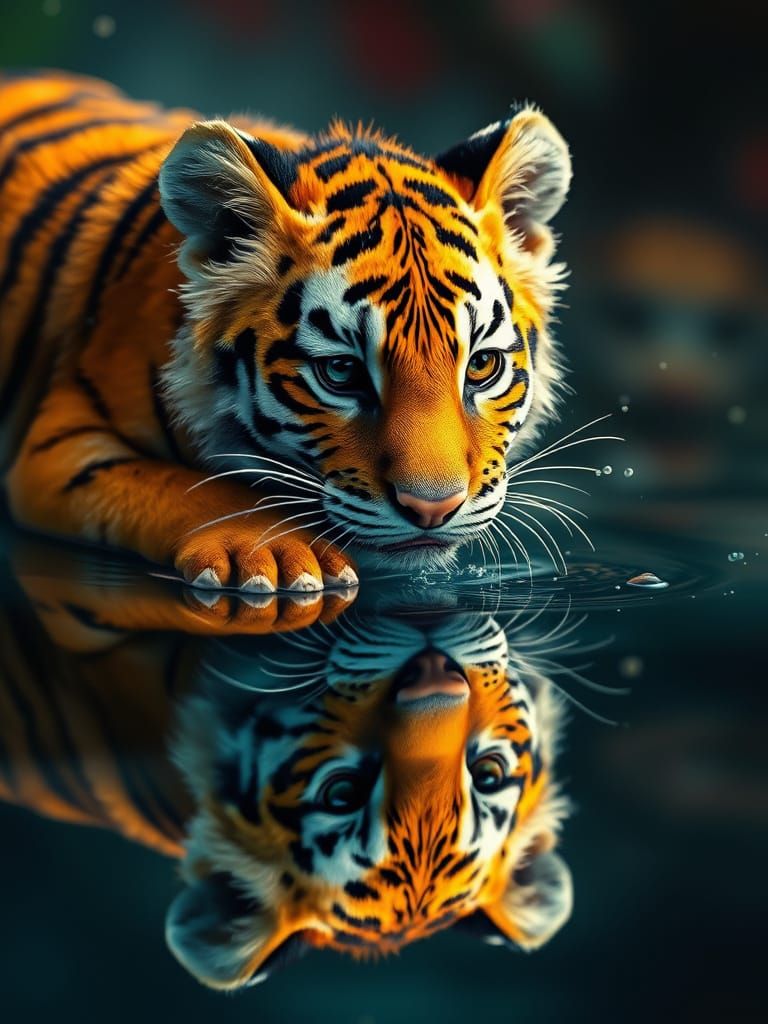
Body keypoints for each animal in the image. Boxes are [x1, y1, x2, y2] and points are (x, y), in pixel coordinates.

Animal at [0, 70, 571, 592]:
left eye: (482, 366)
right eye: (340, 372)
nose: (433, 508)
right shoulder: (60, 445)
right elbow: (178, 483)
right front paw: (271, 553)